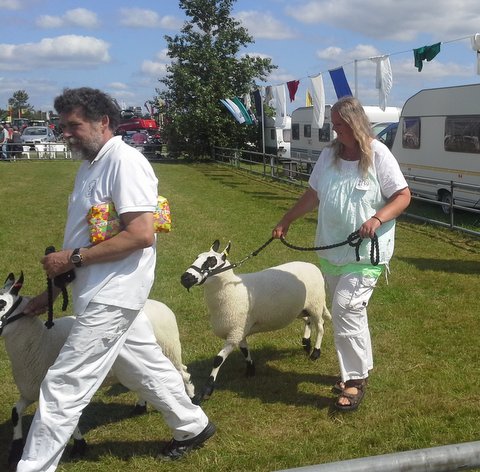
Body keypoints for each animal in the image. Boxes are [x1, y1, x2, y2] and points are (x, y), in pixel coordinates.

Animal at [0, 272, 195, 466]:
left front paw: (79, 446)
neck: (40, 341)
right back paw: (140, 406)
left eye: (2, 303)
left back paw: (192, 398)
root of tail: (162, 305)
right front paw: (15, 450)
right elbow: (15, 412)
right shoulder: (30, 391)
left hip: (170, 350)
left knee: (182, 373)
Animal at [180, 242, 330, 404]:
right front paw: (251, 370)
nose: (185, 278)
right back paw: (306, 343)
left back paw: (315, 352)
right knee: (308, 321)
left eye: (212, 261)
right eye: (196, 257)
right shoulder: (239, 330)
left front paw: (206, 391)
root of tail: (312, 266)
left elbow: (218, 360)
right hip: (299, 309)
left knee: (320, 326)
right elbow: (245, 350)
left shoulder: (235, 332)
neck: (232, 291)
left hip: (316, 303)